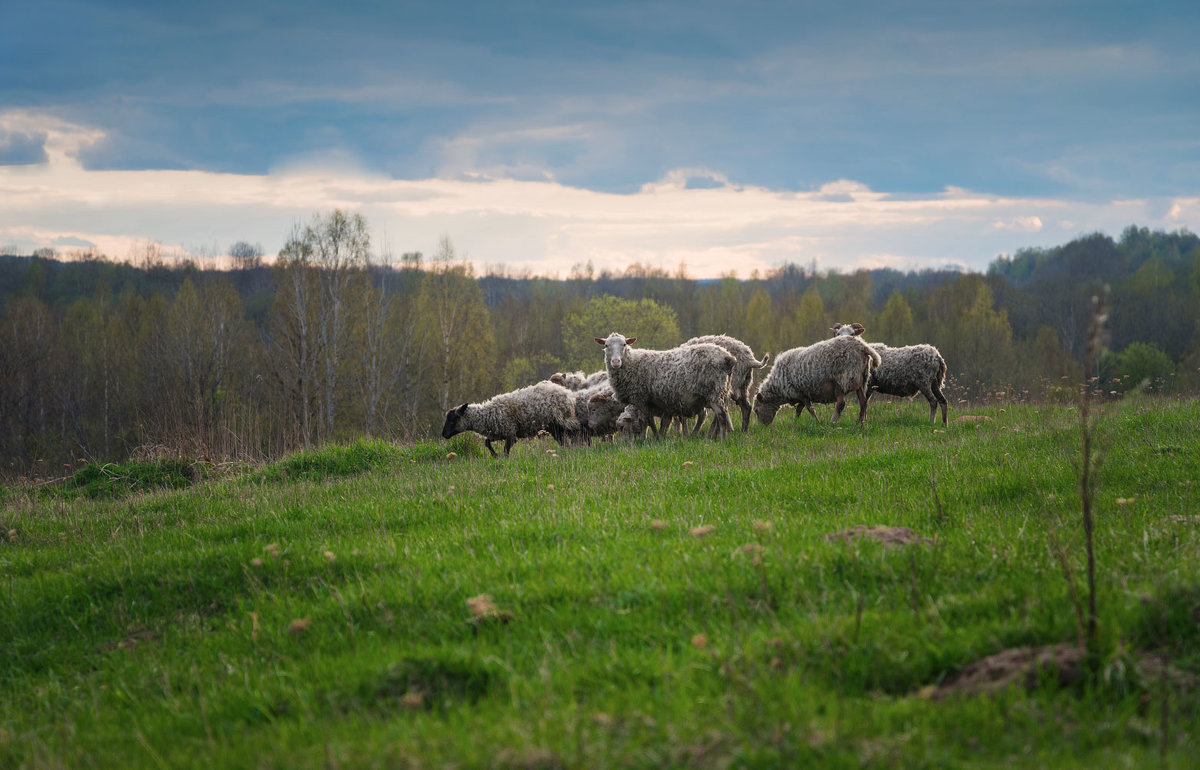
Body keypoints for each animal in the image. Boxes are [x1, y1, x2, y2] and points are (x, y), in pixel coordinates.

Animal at [446, 379, 585, 455]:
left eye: (453, 419)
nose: (444, 434)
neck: (487, 416)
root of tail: (567, 393)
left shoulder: (510, 433)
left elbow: (506, 450)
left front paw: (501, 458)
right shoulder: (498, 433)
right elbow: (487, 443)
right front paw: (495, 455)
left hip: (564, 422)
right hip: (555, 428)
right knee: (565, 443)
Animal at [592, 331, 734, 436]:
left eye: (624, 344)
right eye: (606, 345)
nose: (616, 362)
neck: (631, 362)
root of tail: (727, 357)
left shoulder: (641, 398)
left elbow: (647, 421)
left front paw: (650, 438)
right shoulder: (649, 402)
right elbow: (652, 421)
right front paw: (657, 437)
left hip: (714, 390)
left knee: (721, 415)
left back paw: (722, 439)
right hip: (721, 391)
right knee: (720, 415)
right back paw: (711, 436)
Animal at [748, 333, 883, 422]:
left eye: (757, 410)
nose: (763, 426)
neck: (778, 387)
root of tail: (862, 346)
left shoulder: (800, 392)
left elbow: (809, 409)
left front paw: (816, 421)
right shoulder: (802, 394)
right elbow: (799, 409)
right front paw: (796, 421)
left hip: (842, 380)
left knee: (841, 404)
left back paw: (833, 422)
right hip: (862, 380)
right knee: (863, 402)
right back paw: (860, 423)